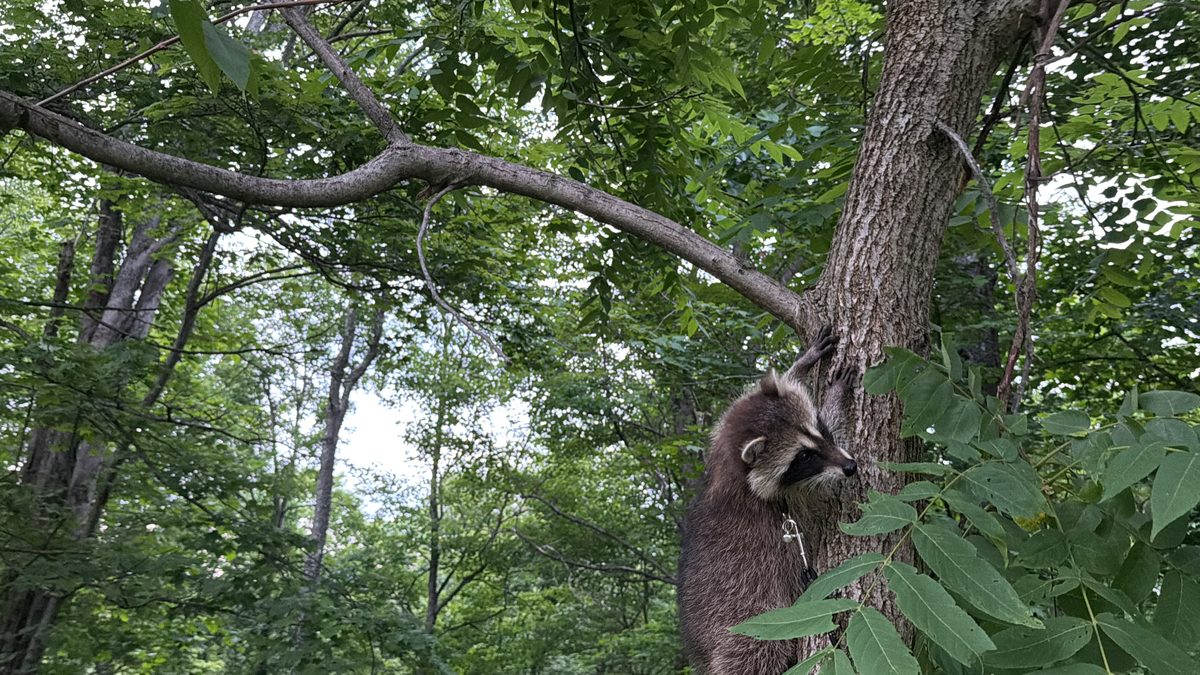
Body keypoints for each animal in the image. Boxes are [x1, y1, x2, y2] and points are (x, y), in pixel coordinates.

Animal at [678, 326, 857, 675]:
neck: (735, 472)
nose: (851, 467)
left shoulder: (720, 437)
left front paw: (800, 364)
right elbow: (825, 493)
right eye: (803, 457)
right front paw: (836, 399)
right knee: (758, 653)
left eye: (819, 429)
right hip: (750, 625)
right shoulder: (801, 497)